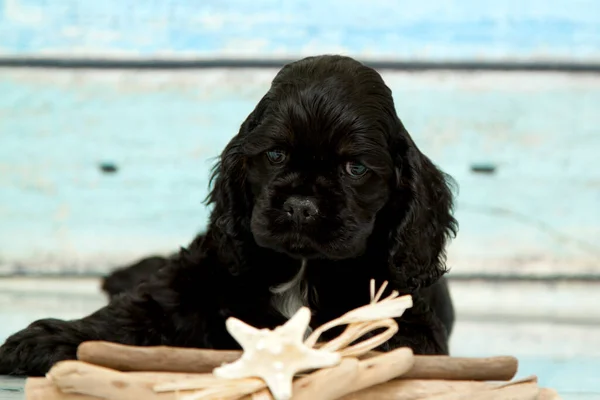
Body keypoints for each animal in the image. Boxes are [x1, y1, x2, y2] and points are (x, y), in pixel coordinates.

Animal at [0, 54, 458, 376]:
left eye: (355, 168)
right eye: (275, 155)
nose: (300, 206)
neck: (303, 269)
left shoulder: (411, 320)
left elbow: (377, 340)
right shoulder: (198, 277)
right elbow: (134, 311)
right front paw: (50, 340)